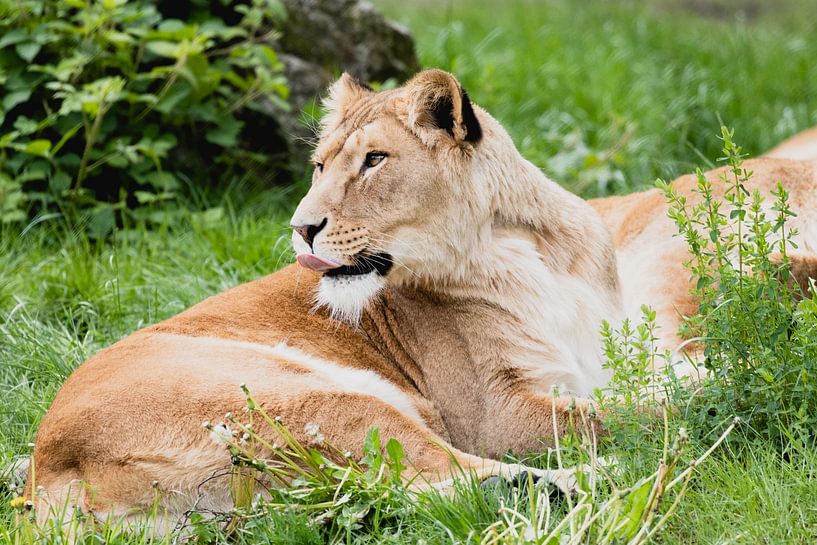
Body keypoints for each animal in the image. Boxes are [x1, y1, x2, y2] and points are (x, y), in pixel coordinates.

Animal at [25, 69, 817, 536]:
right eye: (319, 165)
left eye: (373, 160)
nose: (300, 226)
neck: (529, 243)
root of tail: (46, 467)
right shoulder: (499, 414)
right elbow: (629, 413)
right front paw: (741, 400)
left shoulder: (613, 350)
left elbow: (673, 380)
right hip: (320, 400)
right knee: (445, 483)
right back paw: (609, 481)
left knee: (393, 496)